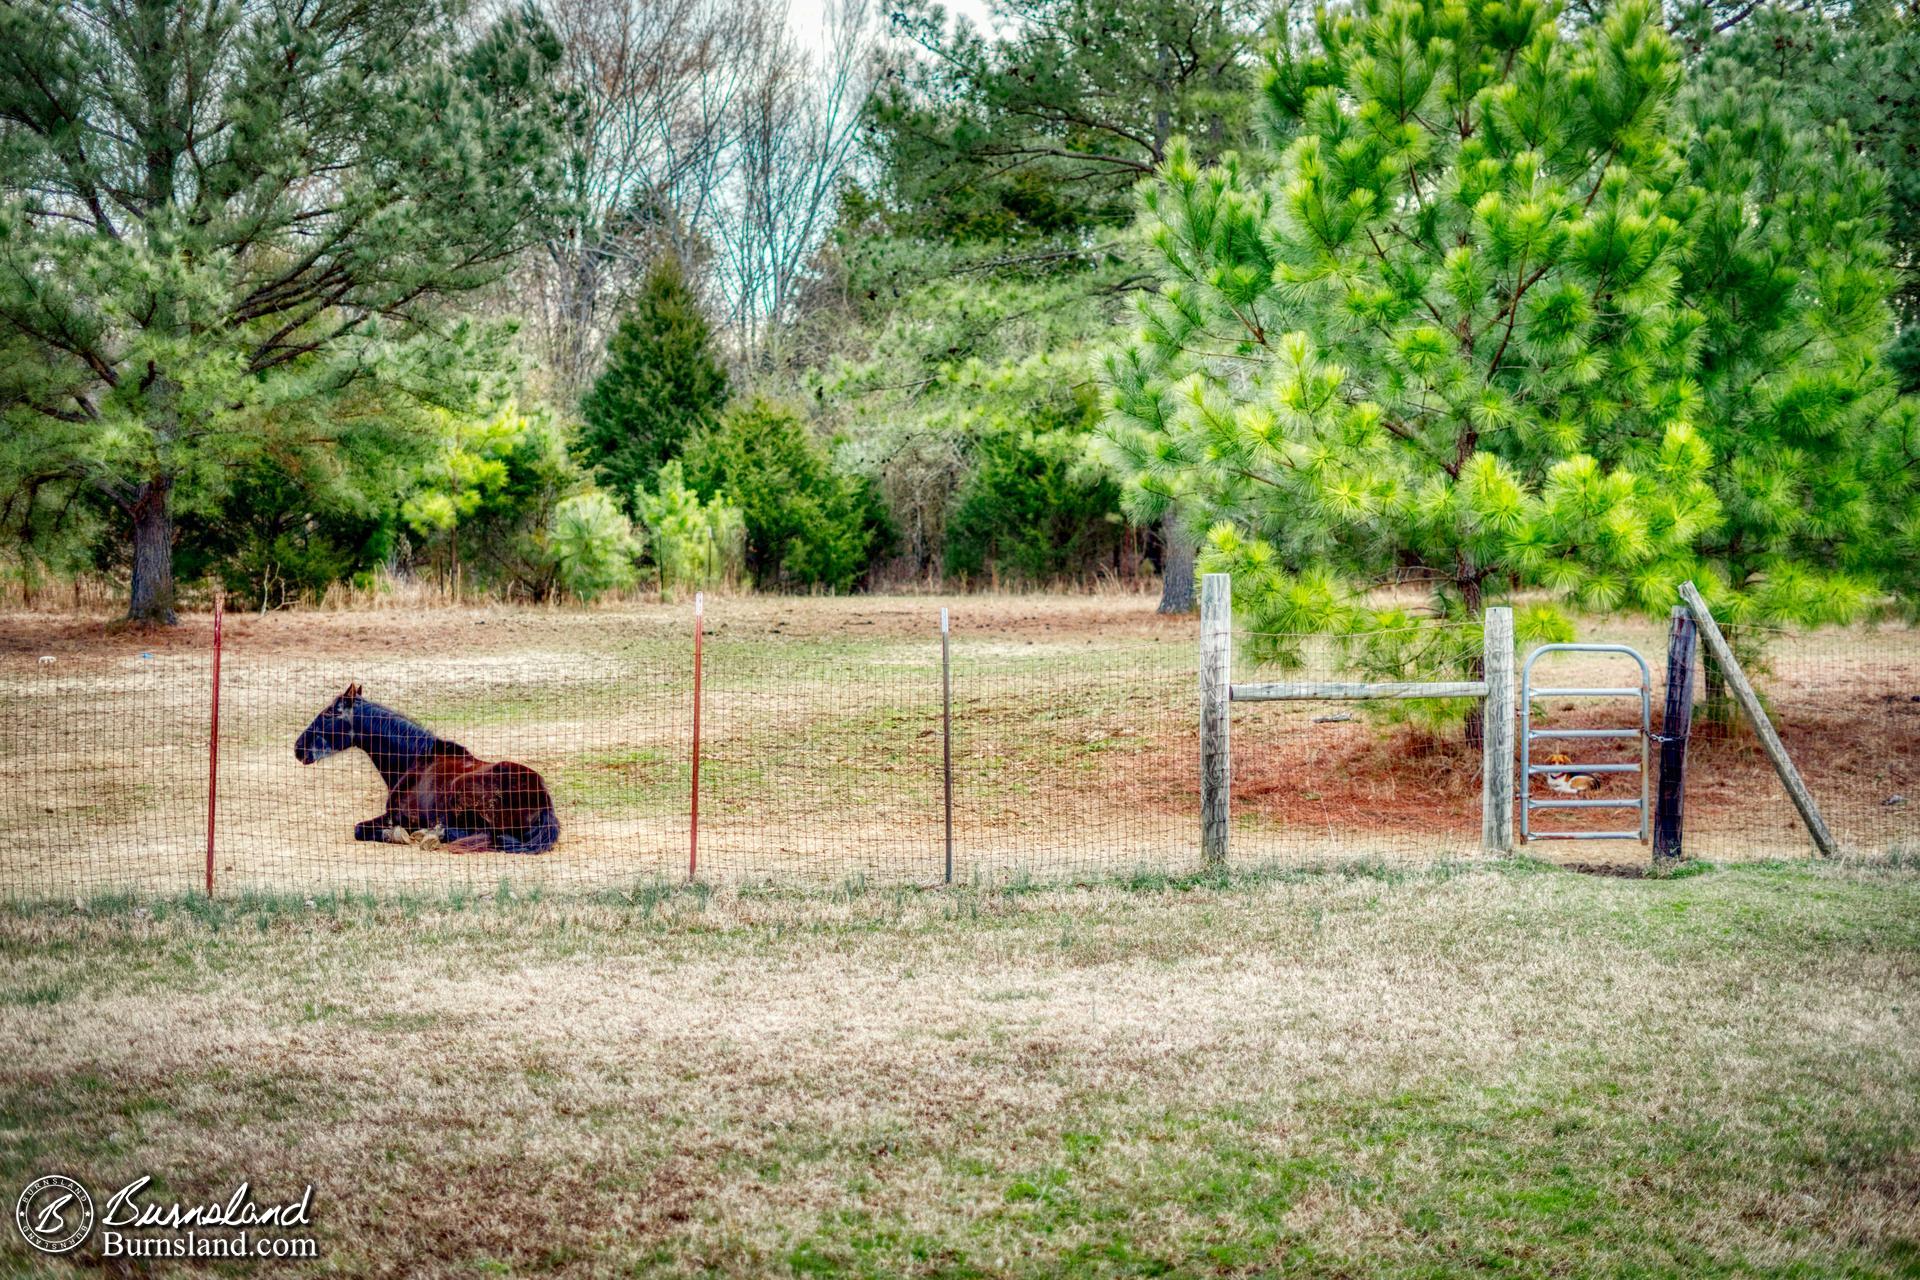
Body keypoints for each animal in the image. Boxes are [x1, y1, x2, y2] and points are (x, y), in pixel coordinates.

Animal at [291, 687, 560, 855]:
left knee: (486, 834)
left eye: (329, 714)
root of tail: (542, 798)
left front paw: (398, 835)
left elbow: (360, 829)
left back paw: (434, 834)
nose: (298, 748)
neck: (414, 761)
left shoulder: (398, 816)